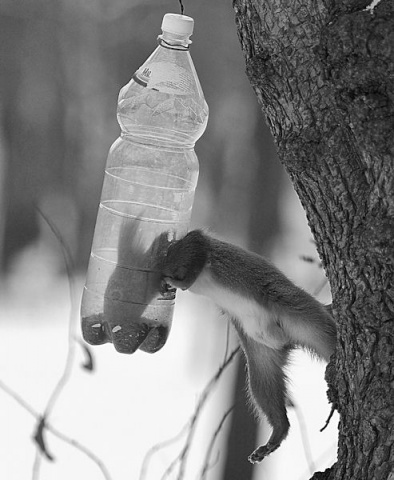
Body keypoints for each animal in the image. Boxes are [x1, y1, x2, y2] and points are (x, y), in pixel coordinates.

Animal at [160, 231, 336, 464]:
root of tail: (282, 339)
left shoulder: (195, 247)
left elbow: (196, 253)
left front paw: (176, 281)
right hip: (261, 359)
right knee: (268, 396)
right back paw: (275, 437)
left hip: (303, 318)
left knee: (327, 336)